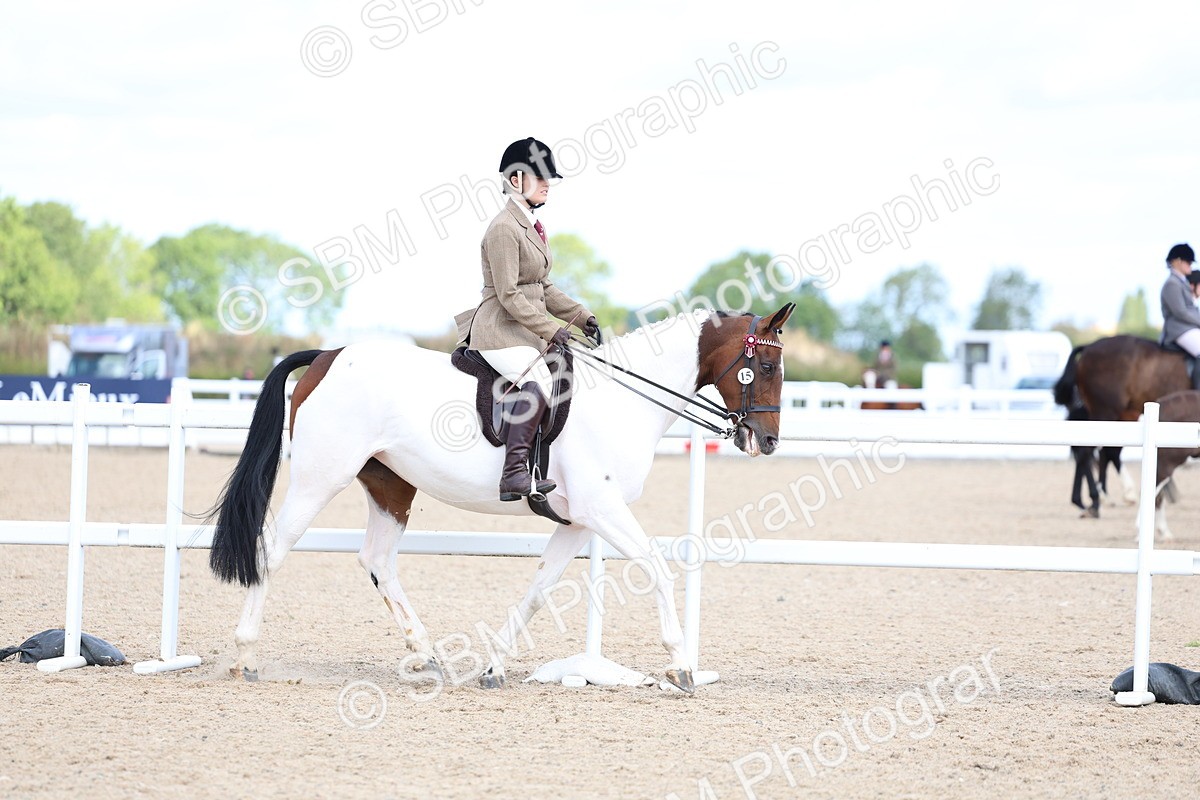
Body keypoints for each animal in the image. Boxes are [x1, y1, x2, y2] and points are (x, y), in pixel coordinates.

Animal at [207, 304, 796, 694]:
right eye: (766, 368)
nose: (766, 442)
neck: (622, 402)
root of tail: (328, 355)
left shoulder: (576, 520)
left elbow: (539, 589)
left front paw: (493, 666)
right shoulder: (601, 510)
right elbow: (656, 566)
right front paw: (680, 665)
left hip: (390, 483)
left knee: (377, 559)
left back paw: (425, 655)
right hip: (320, 477)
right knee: (272, 549)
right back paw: (246, 655)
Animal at [1054, 335, 1189, 509]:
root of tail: (1089, 347)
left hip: (1121, 415)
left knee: (1104, 451)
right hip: (1106, 412)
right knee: (1090, 450)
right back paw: (1097, 498)